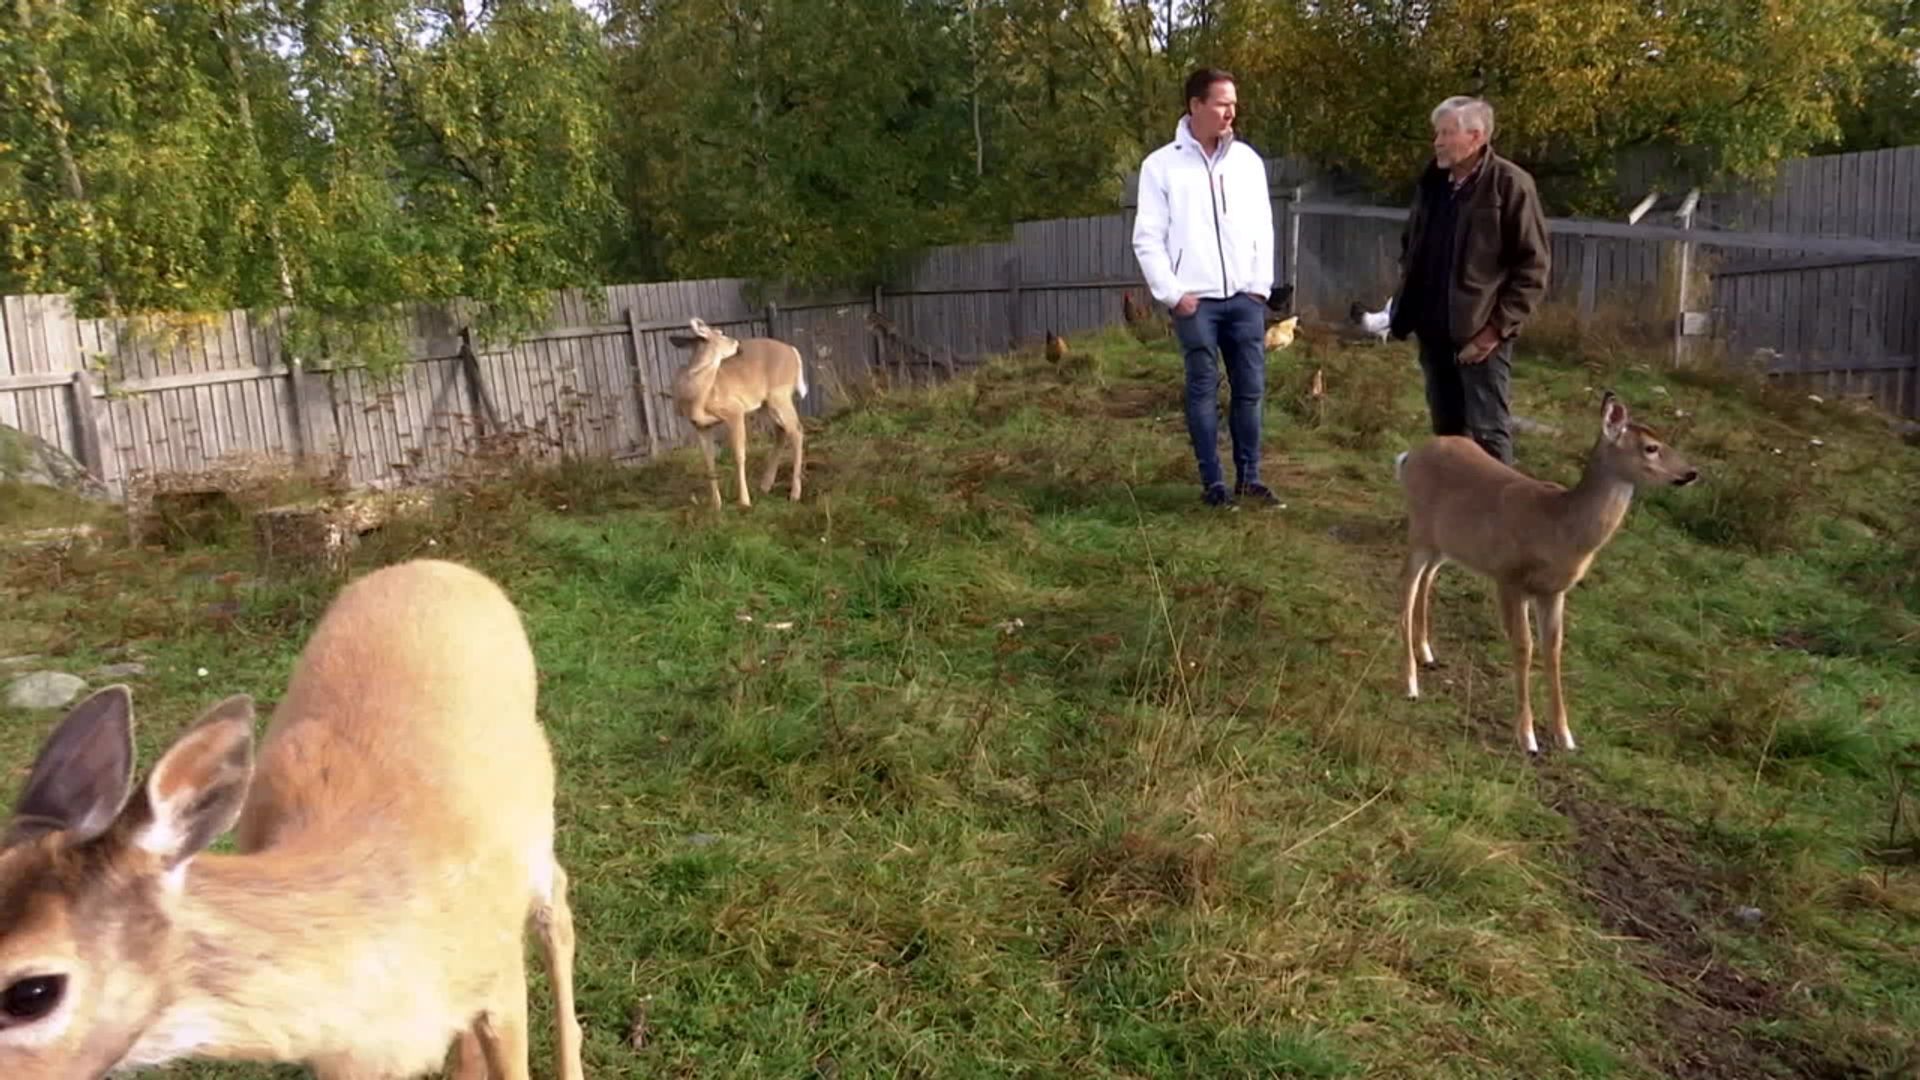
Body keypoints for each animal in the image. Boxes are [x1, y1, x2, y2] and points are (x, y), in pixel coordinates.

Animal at [668, 316, 807, 509]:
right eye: (720, 333)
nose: (738, 344)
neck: (697, 398)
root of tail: (793, 351)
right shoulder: (700, 425)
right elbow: (709, 462)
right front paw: (716, 505)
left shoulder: (735, 410)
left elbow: (739, 455)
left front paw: (744, 501)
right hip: (765, 403)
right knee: (782, 431)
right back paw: (766, 485)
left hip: (779, 395)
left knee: (797, 430)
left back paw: (794, 494)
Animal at [1395, 391, 1698, 756]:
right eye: (1651, 447)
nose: (1691, 472)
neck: (1558, 526)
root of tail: (1411, 455)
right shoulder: (1509, 578)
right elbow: (1524, 648)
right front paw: (1527, 738)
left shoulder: (1554, 591)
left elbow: (1553, 651)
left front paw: (1565, 736)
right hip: (1419, 529)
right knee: (1406, 587)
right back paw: (1410, 684)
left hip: (1446, 543)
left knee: (1426, 579)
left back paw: (1426, 651)